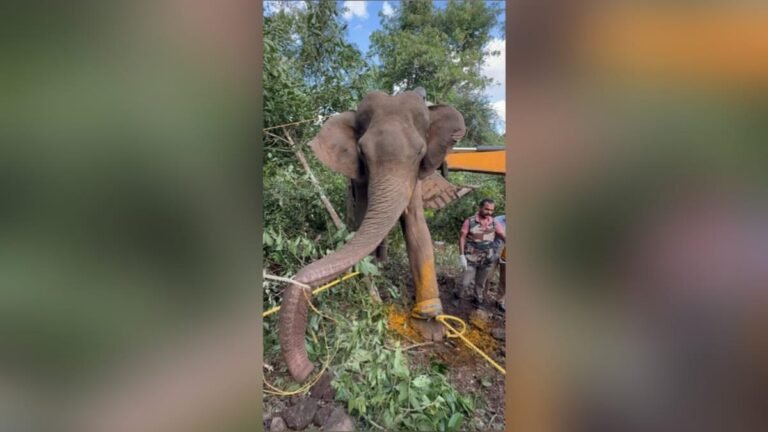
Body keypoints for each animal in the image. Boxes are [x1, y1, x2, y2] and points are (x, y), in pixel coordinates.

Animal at [278, 90, 466, 382]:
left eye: (421, 152)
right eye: (362, 153)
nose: (308, 369)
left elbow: (416, 224)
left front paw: (431, 328)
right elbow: (365, 213)